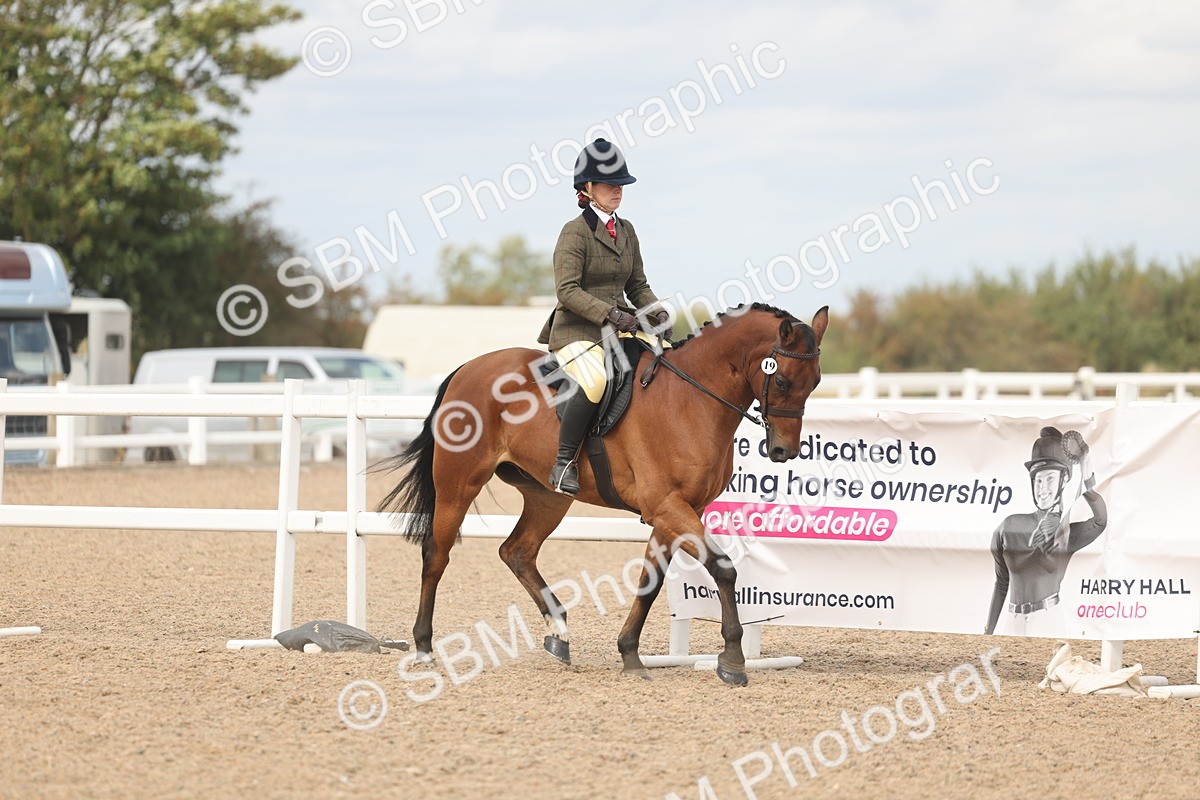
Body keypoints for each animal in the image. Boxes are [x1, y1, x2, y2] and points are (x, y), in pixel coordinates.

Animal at [377, 302, 829, 685]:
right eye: (782, 379)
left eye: (817, 382)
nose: (784, 452)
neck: (691, 399)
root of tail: (469, 368)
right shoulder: (668, 506)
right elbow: (723, 568)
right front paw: (732, 660)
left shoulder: (675, 511)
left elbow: (650, 581)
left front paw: (630, 654)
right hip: (459, 484)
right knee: (437, 555)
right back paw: (424, 648)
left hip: (548, 496)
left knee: (517, 551)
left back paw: (558, 634)